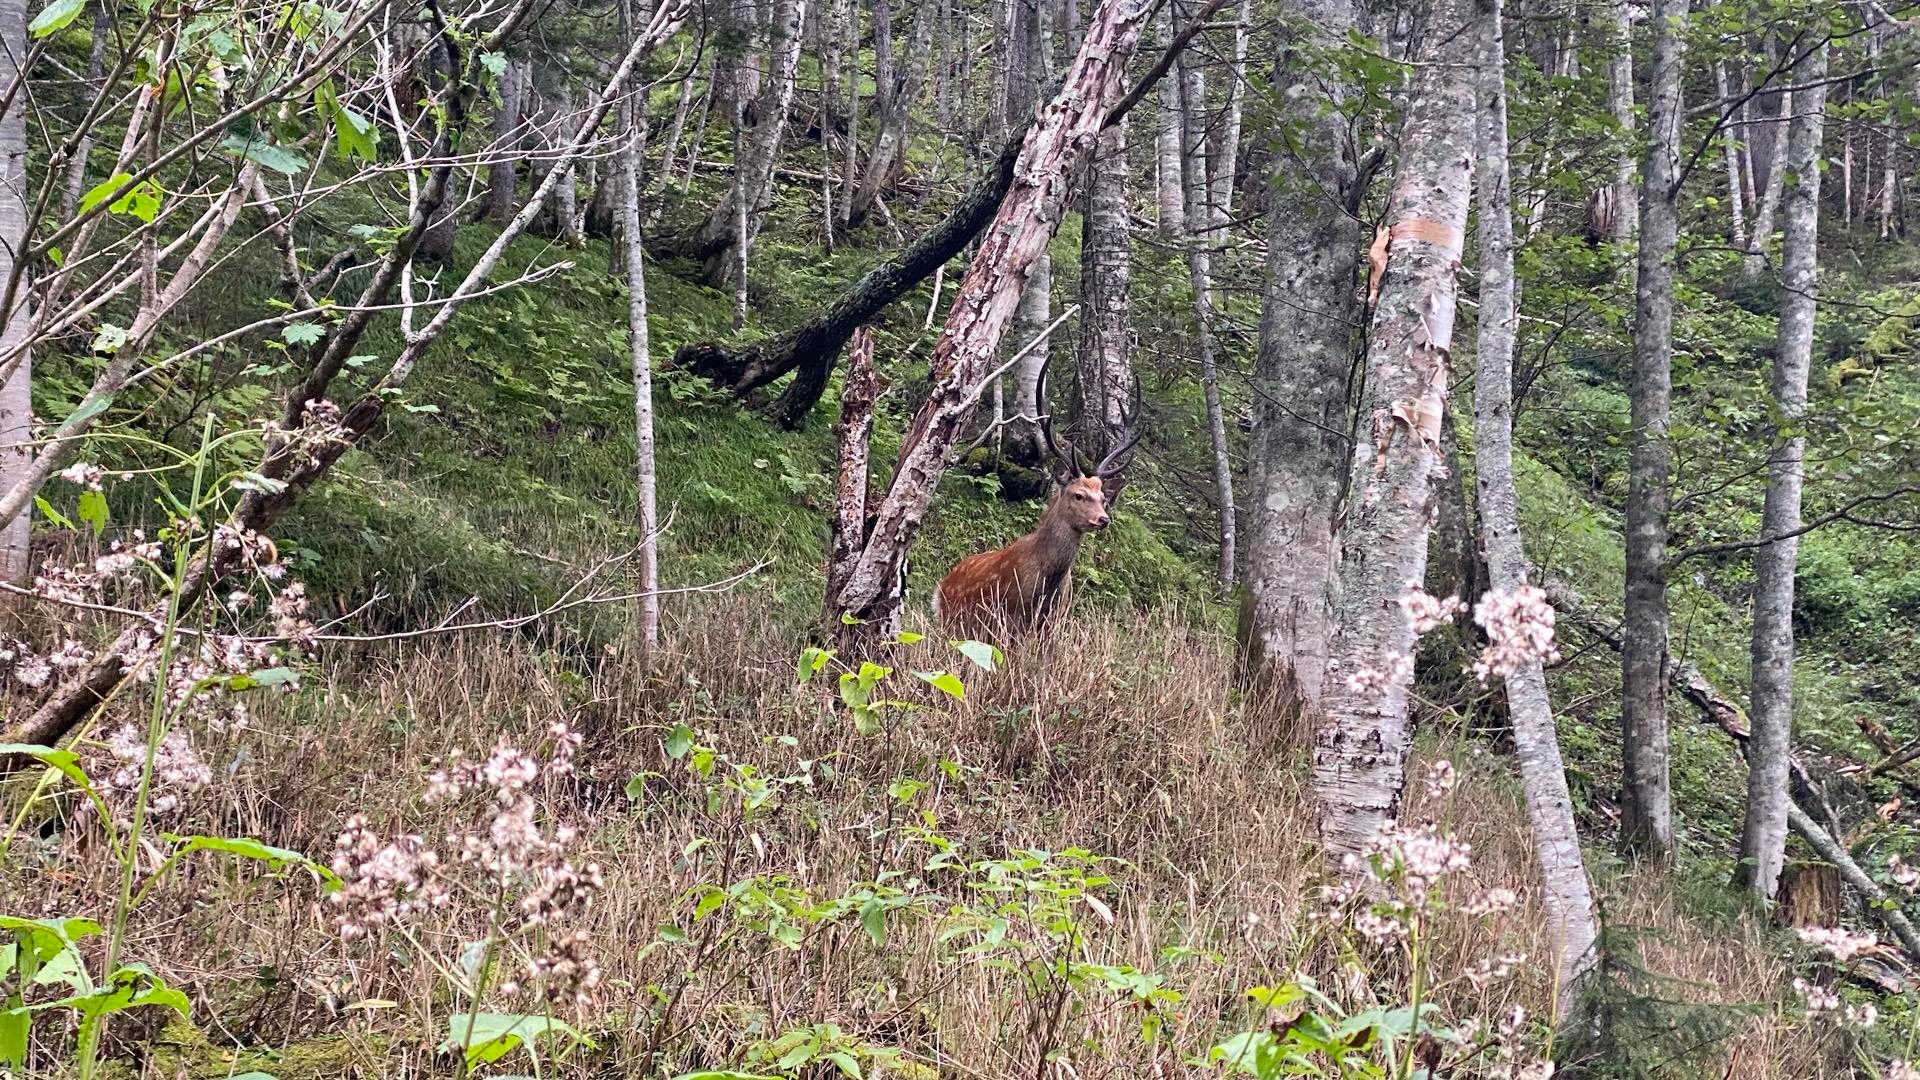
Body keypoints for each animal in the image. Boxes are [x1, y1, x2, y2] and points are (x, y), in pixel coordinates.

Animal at [933, 368, 1140, 637]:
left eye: (1103, 498)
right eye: (1078, 494)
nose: (1103, 519)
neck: (1047, 585)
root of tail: (938, 591)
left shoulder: (1054, 622)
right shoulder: (1008, 620)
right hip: (954, 624)